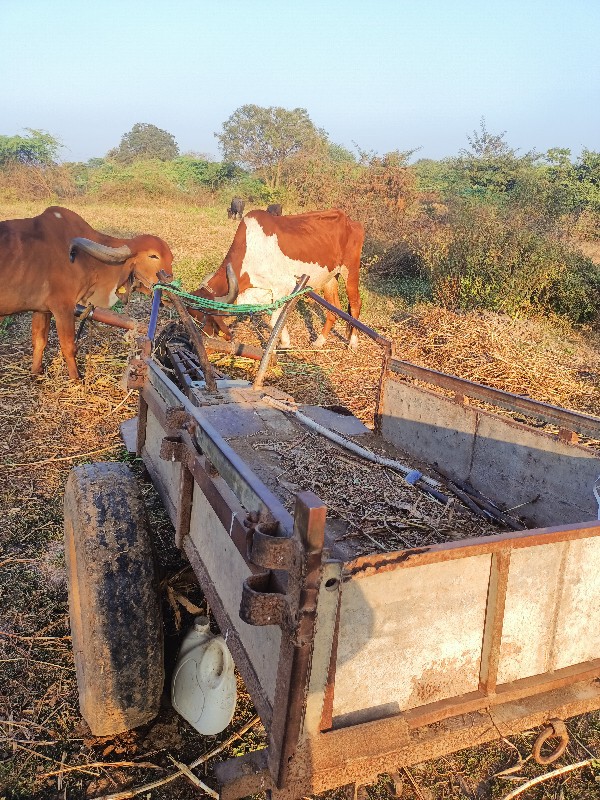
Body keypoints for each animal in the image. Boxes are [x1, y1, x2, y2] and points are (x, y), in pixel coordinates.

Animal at [0, 206, 173, 382]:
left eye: (171, 258)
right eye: (153, 256)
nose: (170, 287)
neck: (87, 260)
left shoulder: (42, 309)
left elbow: (39, 341)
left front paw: (36, 371)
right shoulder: (63, 308)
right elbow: (69, 346)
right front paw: (76, 378)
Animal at [190, 208, 364, 348]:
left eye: (202, 317)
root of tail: (350, 221)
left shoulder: (285, 286)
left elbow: (275, 319)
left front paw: (285, 343)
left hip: (350, 270)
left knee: (356, 304)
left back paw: (353, 342)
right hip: (330, 277)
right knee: (334, 308)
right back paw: (319, 341)